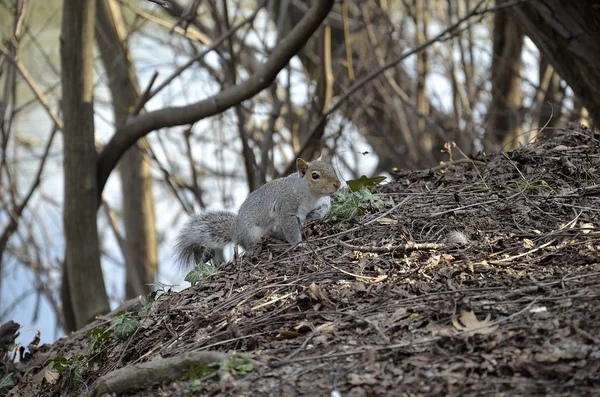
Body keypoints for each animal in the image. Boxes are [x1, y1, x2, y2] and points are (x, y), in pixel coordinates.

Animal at [176, 156, 340, 268]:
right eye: (315, 175)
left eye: (332, 167)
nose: (337, 184)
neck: (310, 194)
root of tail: (236, 230)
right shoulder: (286, 207)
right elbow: (290, 227)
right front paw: (299, 244)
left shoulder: (322, 202)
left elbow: (324, 208)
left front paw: (315, 216)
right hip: (252, 234)